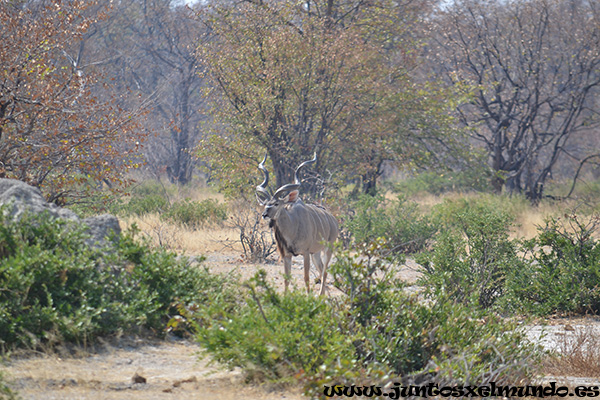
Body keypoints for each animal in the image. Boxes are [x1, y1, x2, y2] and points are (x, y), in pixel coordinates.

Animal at [256, 153, 340, 294]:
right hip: (315, 253)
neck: (292, 227)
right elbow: (286, 279)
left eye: (276, 204)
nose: (264, 214)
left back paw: (321, 295)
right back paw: (325, 296)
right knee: (321, 269)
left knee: (324, 272)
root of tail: (333, 220)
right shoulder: (287, 255)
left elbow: (306, 277)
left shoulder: (305, 253)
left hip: (328, 248)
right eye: (265, 203)